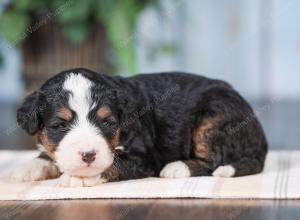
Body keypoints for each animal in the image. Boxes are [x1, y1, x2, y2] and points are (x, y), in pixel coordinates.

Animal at [11, 69, 268, 187]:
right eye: (59, 125)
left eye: (107, 122)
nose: (88, 155)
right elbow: (48, 154)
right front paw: (28, 168)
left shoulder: (145, 157)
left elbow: (113, 163)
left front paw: (81, 177)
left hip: (214, 118)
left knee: (214, 160)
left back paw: (177, 168)